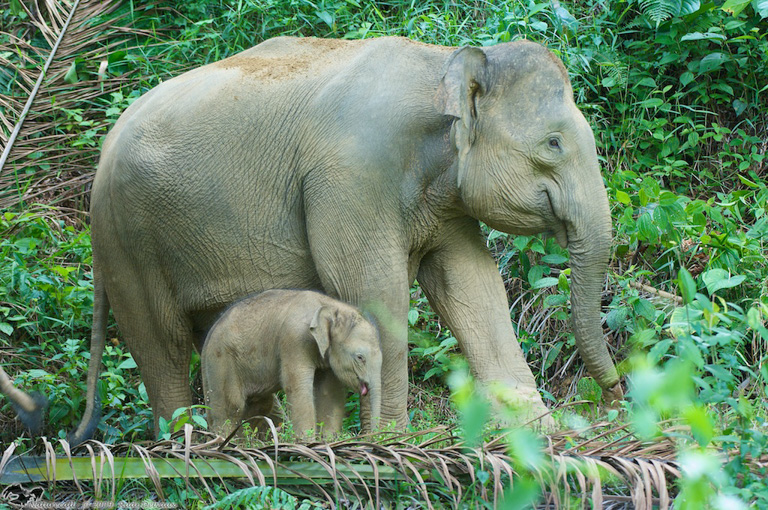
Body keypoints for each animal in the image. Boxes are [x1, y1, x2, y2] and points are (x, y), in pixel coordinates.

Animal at [200, 288, 382, 440]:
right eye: (360, 357)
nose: (372, 438)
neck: (330, 306)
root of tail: (208, 336)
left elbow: (329, 393)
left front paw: (329, 441)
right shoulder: (294, 340)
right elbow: (297, 386)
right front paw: (307, 443)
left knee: (260, 404)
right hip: (221, 362)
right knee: (231, 406)